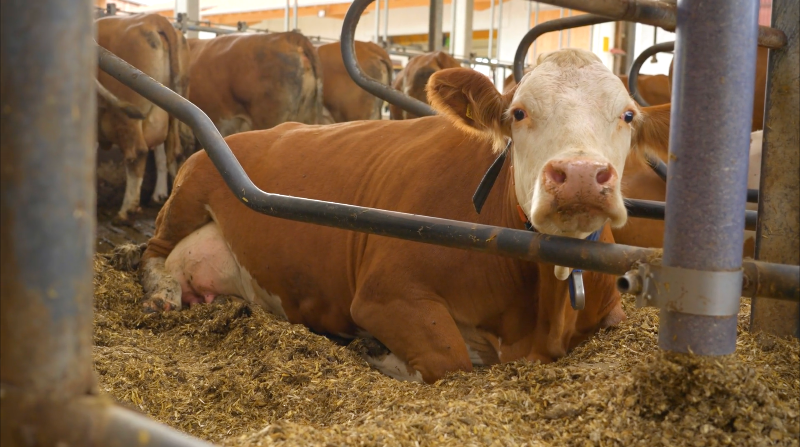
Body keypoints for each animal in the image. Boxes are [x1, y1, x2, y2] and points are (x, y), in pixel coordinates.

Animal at [134, 49, 671, 384]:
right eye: (519, 112)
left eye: (627, 115)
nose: (579, 175)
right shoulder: (385, 294)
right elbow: (450, 360)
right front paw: (375, 351)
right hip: (191, 187)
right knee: (154, 251)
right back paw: (159, 292)